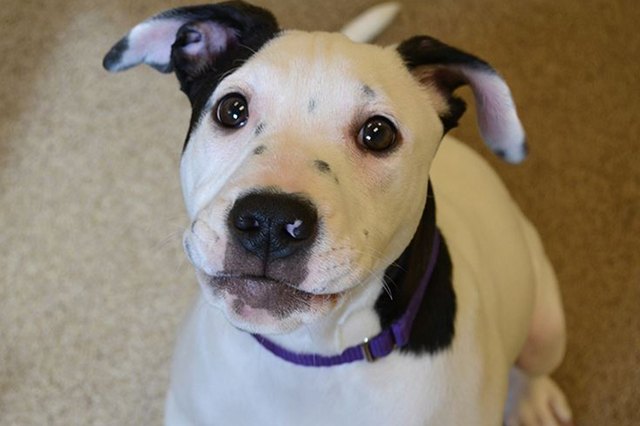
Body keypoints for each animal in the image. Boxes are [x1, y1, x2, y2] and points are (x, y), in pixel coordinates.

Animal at [102, 1, 572, 424]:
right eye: (231, 109)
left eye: (378, 134)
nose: (270, 221)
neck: (309, 357)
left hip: (546, 323)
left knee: (536, 366)